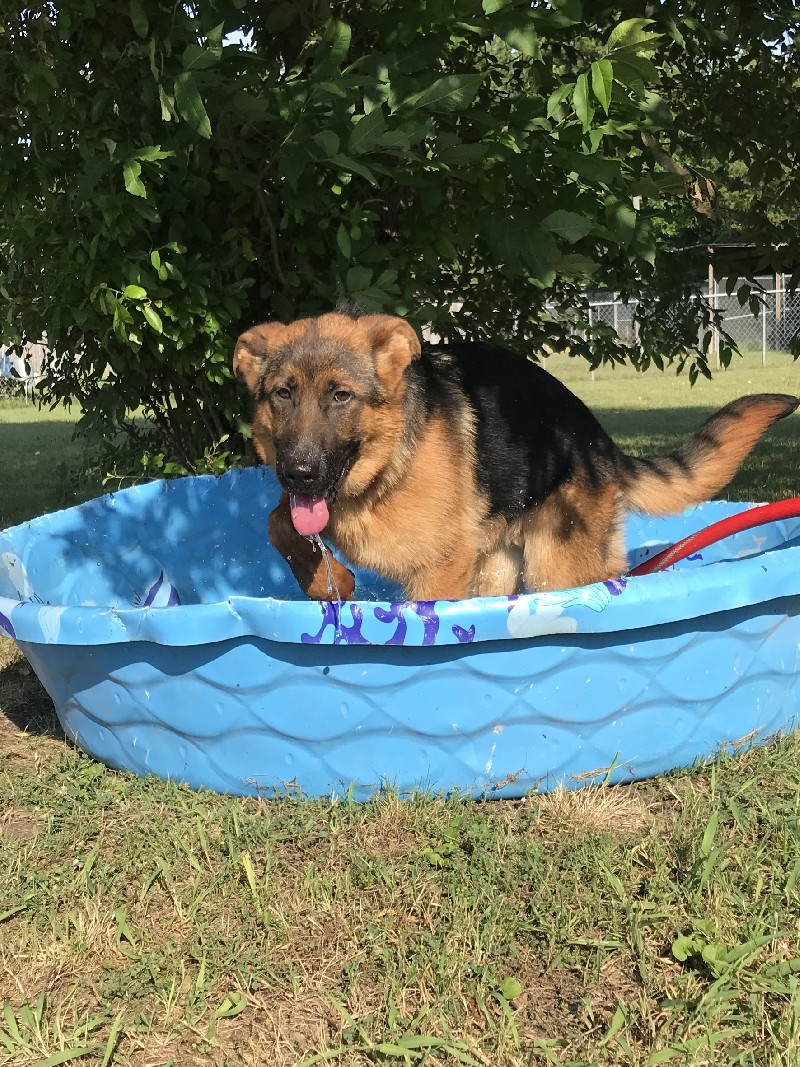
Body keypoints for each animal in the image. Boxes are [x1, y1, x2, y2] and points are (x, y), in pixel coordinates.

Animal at [234, 309, 797, 606]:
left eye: (340, 396)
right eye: (282, 394)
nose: (299, 472)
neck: (385, 471)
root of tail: (595, 435)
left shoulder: (438, 572)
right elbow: (277, 523)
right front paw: (326, 580)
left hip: (556, 566)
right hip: (496, 567)